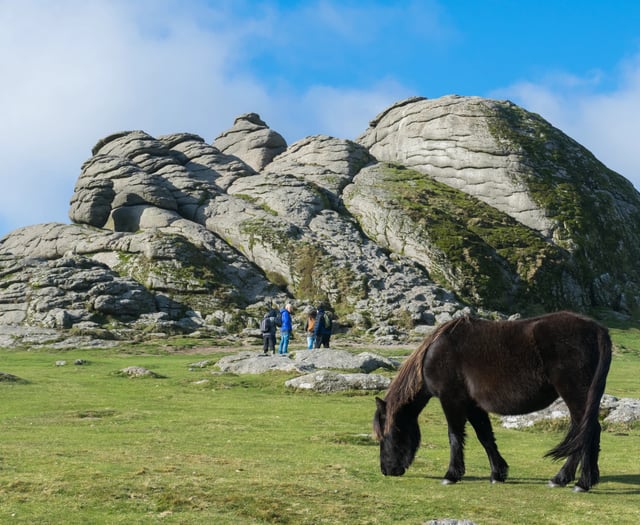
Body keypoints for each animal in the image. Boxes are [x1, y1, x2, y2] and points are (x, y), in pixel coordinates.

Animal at [372, 310, 612, 490]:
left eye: (387, 434)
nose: (386, 470)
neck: (436, 353)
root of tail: (597, 329)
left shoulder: (451, 400)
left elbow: (454, 436)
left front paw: (451, 475)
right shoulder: (473, 405)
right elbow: (485, 436)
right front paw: (498, 473)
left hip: (575, 394)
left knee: (586, 431)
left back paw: (573, 481)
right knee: (585, 431)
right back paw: (577, 479)